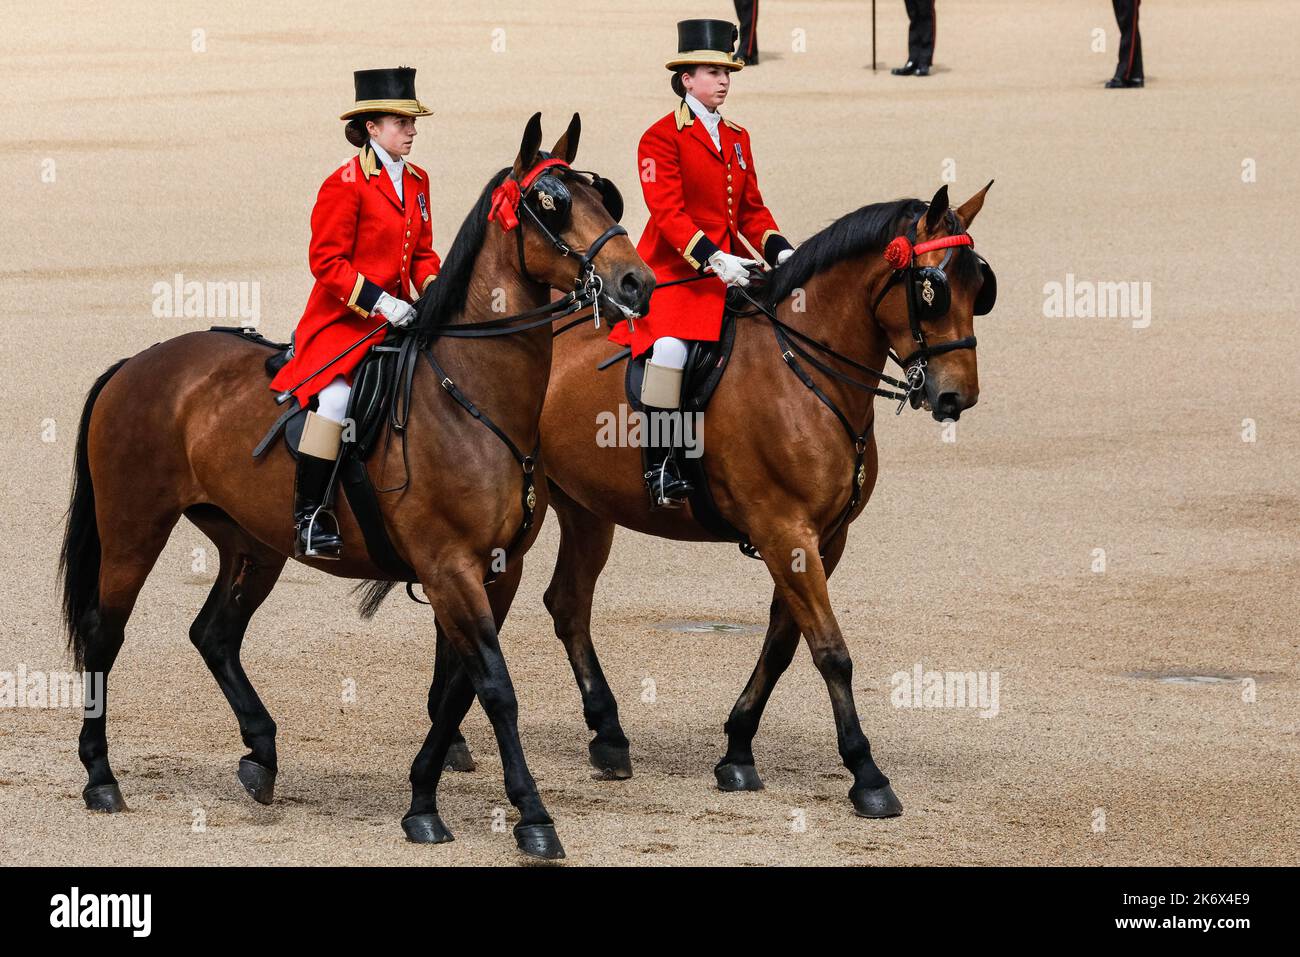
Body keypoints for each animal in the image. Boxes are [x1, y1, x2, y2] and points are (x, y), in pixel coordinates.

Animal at [57, 111, 655, 858]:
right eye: (552, 204)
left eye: (604, 196)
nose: (636, 283)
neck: (472, 398)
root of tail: (137, 363)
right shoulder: (449, 567)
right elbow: (494, 687)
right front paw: (532, 816)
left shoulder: (496, 570)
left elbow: (460, 689)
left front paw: (423, 801)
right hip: (134, 531)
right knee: (104, 634)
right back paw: (100, 775)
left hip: (253, 543)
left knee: (214, 633)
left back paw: (261, 754)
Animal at [444, 180, 993, 832]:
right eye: (932, 289)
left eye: (980, 285)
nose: (957, 396)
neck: (803, 374)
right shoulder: (786, 533)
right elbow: (830, 651)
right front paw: (867, 773)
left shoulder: (823, 540)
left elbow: (782, 644)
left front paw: (737, 749)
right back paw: (457, 741)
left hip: (586, 509)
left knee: (568, 605)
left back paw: (608, 735)